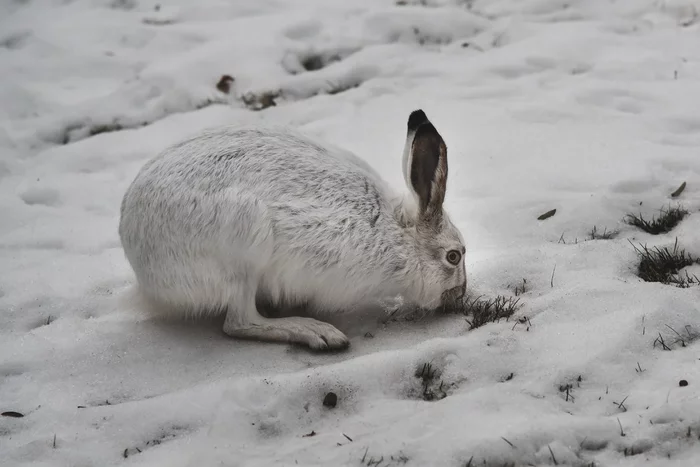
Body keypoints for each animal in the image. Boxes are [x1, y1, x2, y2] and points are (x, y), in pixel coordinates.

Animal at [119, 109, 466, 350]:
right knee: (239, 322)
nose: (460, 295)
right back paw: (317, 332)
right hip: (245, 244)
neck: (397, 233)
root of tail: (144, 274)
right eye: (453, 256)